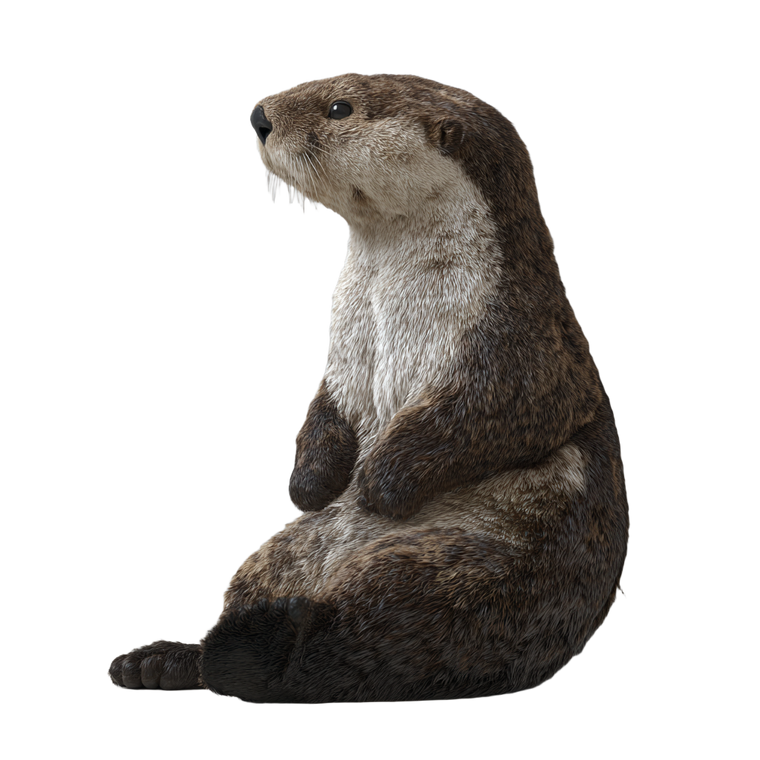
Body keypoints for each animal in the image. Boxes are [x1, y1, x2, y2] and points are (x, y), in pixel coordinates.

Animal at [107, 72, 629, 703]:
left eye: (339, 107)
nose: (259, 116)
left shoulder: (518, 339)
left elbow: (499, 411)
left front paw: (380, 484)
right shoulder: (343, 346)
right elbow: (328, 406)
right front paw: (310, 487)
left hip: (469, 569)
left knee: (392, 619)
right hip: (280, 553)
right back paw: (161, 661)